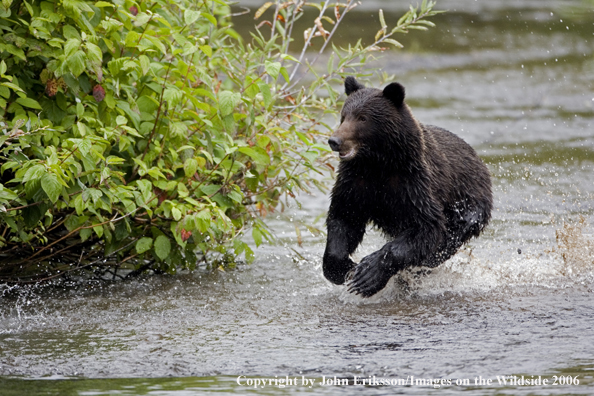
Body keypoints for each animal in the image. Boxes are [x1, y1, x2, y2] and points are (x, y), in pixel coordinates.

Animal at [324, 76, 490, 296]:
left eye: (362, 118)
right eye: (344, 115)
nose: (335, 140)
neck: (378, 164)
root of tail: (479, 159)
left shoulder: (413, 184)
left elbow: (426, 227)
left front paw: (368, 274)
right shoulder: (356, 183)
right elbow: (344, 219)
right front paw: (345, 268)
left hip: (470, 201)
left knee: (452, 234)